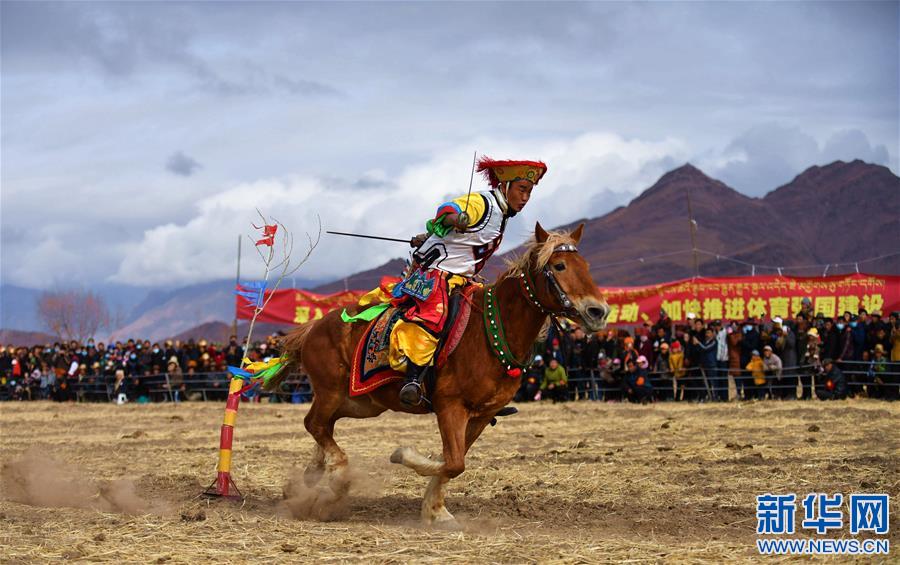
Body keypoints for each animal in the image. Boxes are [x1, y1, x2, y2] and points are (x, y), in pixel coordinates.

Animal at [276, 223, 612, 528]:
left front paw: (435, 510)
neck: (491, 330)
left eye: (586, 266)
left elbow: (453, 462)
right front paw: (403, 456)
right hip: (331, 391)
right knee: (315, 423)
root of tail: (314, 327)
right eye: (559, 265)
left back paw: (314, 473)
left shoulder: (481, 414)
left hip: (363, 402)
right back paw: (335, 477)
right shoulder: (451, 406)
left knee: (325, 425)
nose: (598, 312)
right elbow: (452, 462)